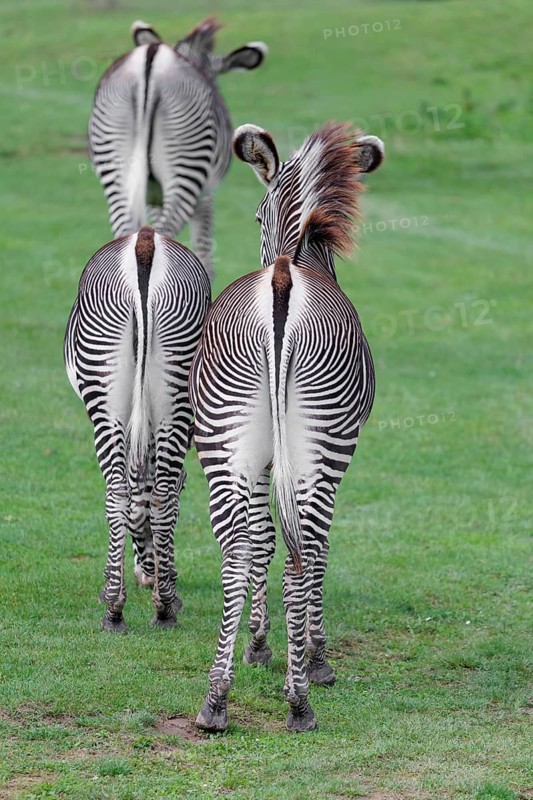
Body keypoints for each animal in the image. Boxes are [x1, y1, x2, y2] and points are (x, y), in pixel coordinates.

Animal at [64, 226, 210, 632]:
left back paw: (139, 607)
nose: (146, 575)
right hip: (159, 391)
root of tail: (145, 241)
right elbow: (147, 493)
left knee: (135, 493)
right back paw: (137, 608)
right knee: (139, 495)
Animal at [88, 17, 267, 281]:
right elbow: (205, 257)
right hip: (188, 167)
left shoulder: (153, 196)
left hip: (115, 165)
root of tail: (151, 61)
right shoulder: (206, 195)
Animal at [189, 122, 384, 731]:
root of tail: (281, 281)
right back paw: (301, 697)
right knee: (306, 551)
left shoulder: (260, 459)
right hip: (323, 445)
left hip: (225, 441)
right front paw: (314, 654)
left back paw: (216, 701)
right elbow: (312, 547)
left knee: (236, 552)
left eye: (255, 215)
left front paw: (257, 645)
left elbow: (263, 542)